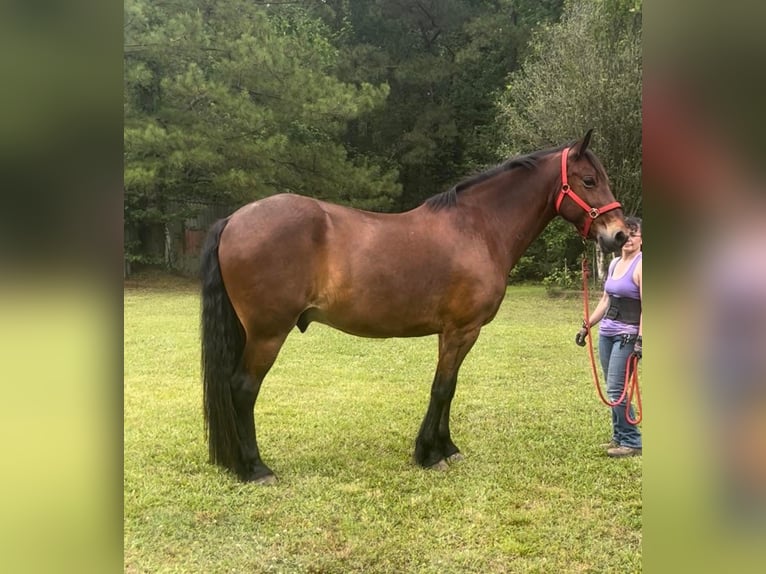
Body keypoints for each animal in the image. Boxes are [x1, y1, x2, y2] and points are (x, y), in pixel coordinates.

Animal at [200, 128, 632, 484]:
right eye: (589, 180)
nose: (620, 235)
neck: (478, 228)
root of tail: (233, 219)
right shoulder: (461, 330)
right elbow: (441, 389)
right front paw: (429, 454)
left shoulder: (453, 333)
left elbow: (449, 388)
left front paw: (446, 448)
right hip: (267, 334)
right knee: (243, 388)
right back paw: (256, 469)